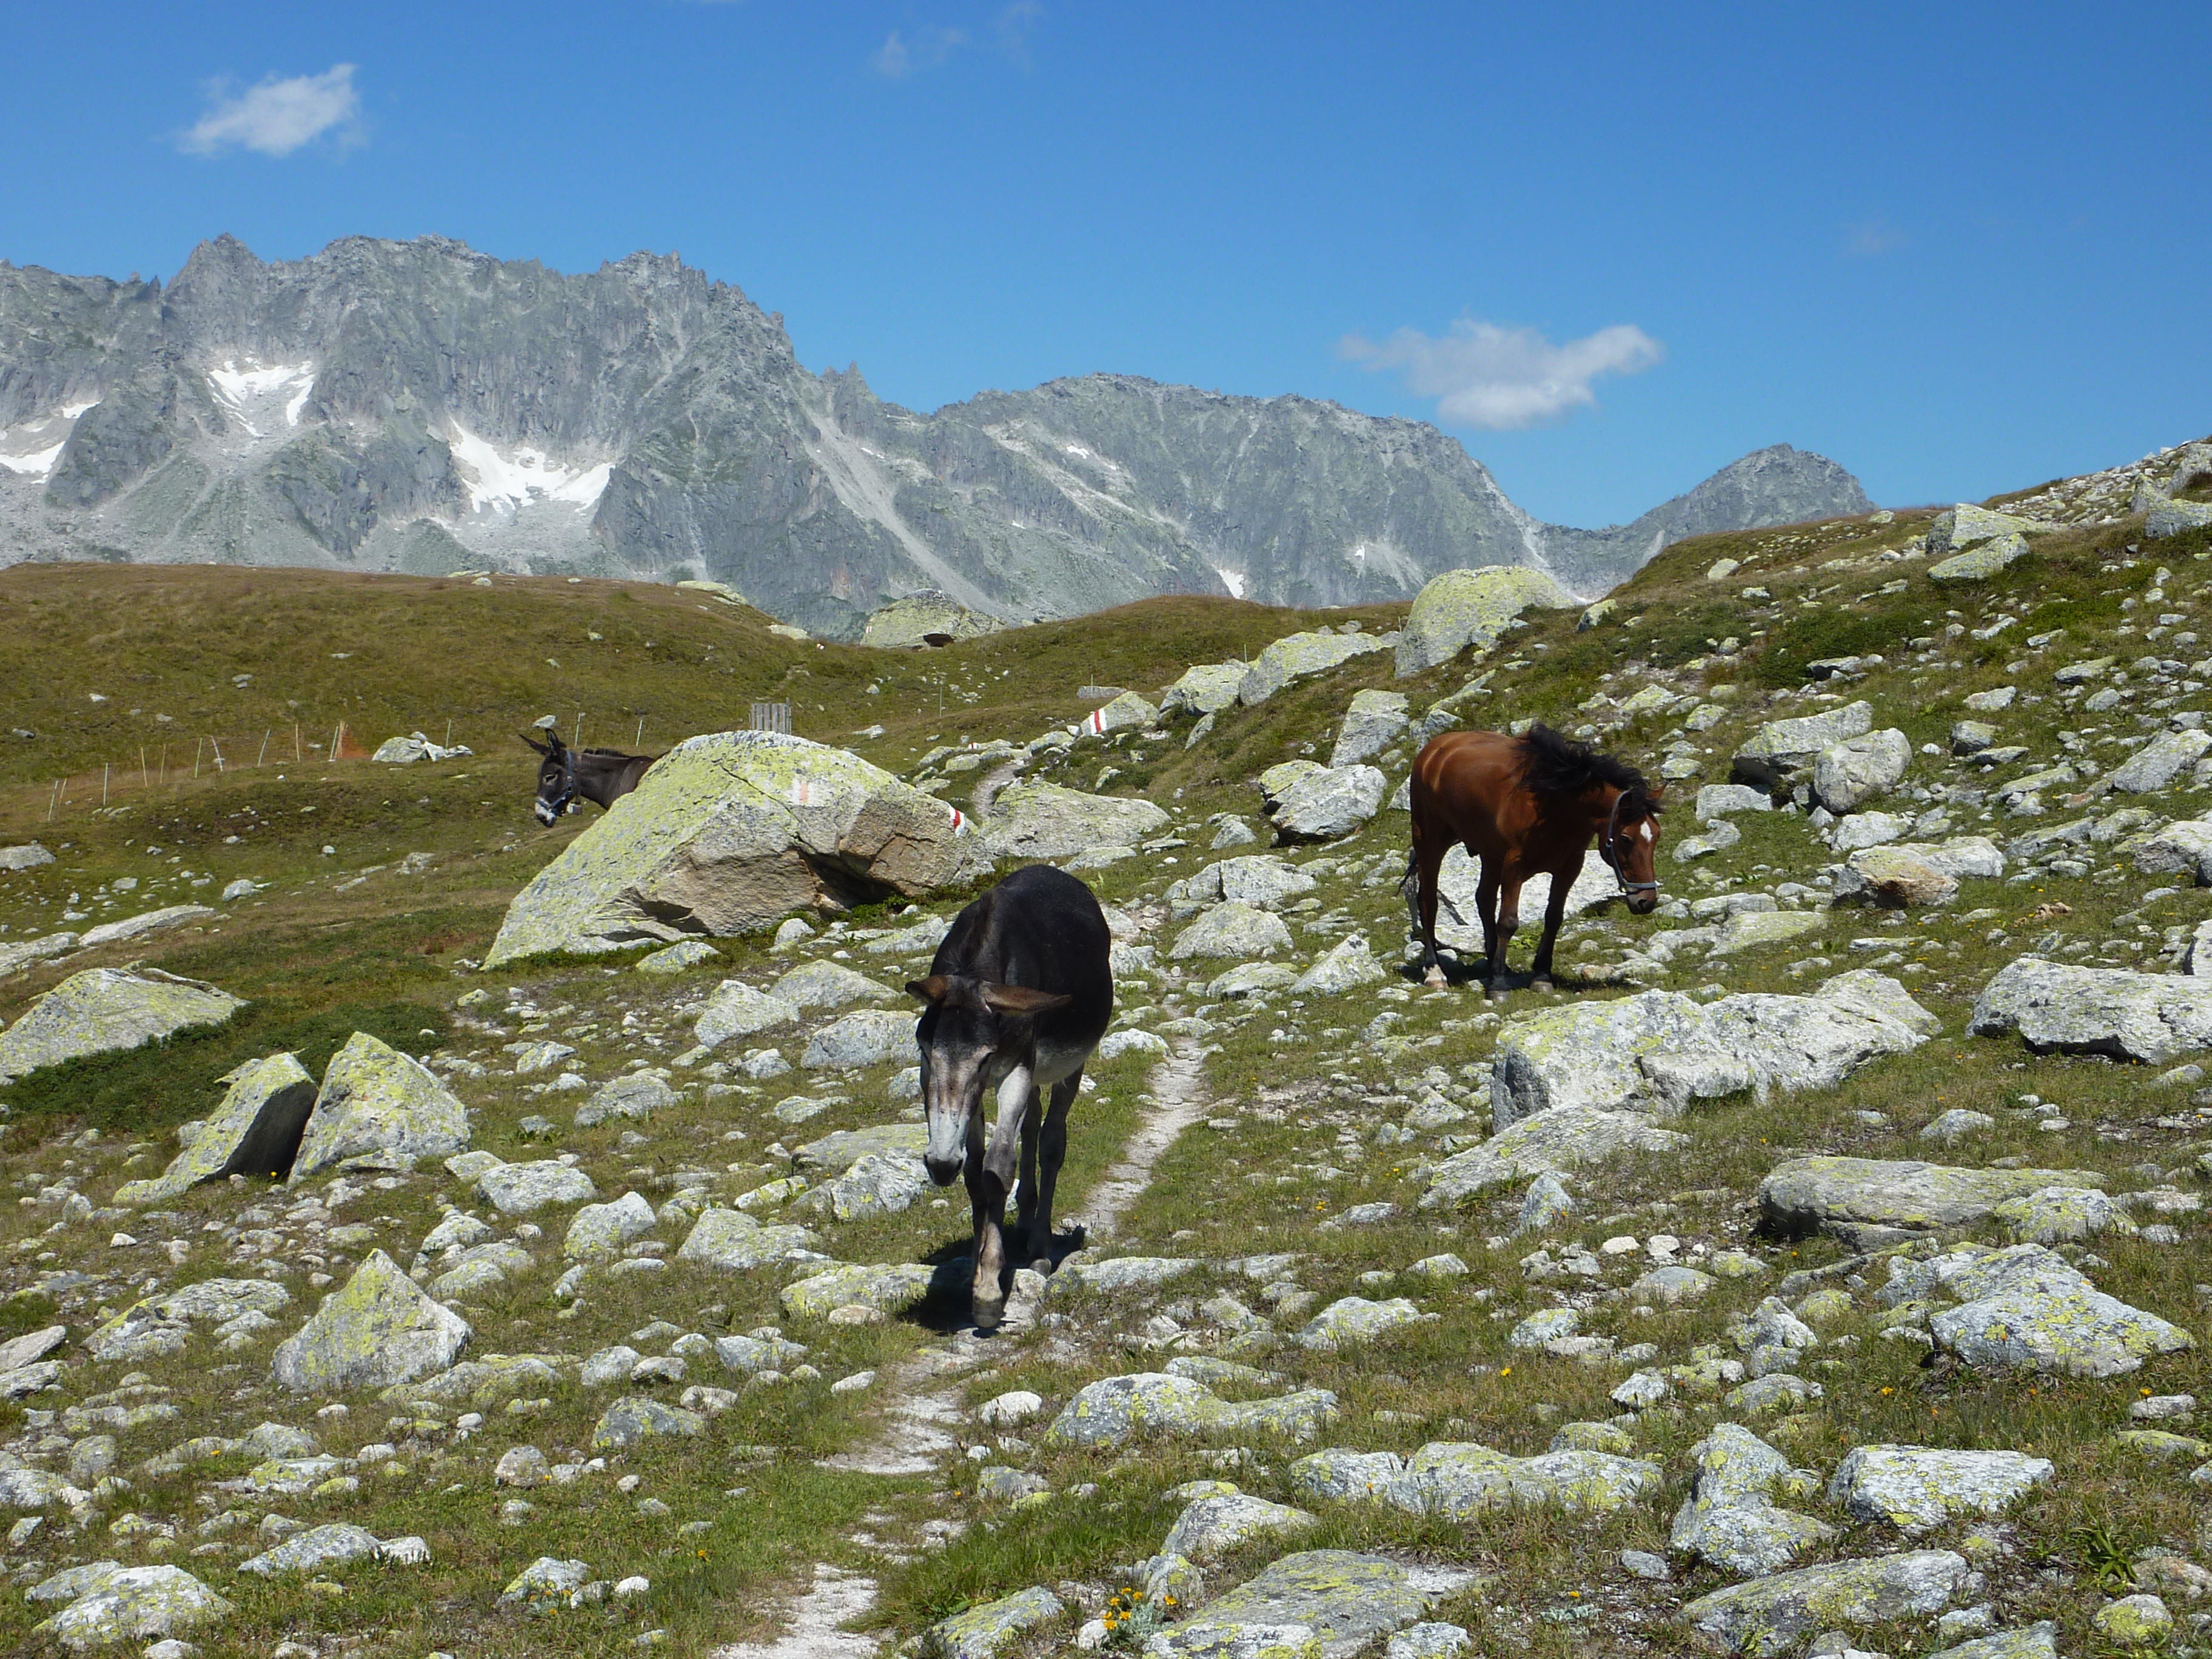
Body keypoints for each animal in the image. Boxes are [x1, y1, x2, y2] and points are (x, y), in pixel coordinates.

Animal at [906, 864, 1113, 1331]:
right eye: (924, 1051)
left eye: (985, 1058)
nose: (939, 1165)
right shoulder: (977, 1096)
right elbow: (975, 1175)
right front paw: (976, 1267)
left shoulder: (1014, 1069)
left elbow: (998, 1168)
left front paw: (987, 1292)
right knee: (1033, 1127)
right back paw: (1024, 1217)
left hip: (1068, 1067)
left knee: (1052, 1141)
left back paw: (1038, 1249)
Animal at [1405, 722, 1664, 1000]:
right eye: (1625, 839)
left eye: (1657, 835)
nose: (1646, 901)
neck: (1554, 804)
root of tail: (1434, 750)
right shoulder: (1514, 867)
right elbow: (1508, 921)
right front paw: (1498, 986)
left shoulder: (1569, 868)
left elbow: (1554, 918)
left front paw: (1541, 976)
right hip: (1430, 844)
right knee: (1428, 903)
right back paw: (1435, 973)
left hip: (1490, 855)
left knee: (1484, 900)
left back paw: (1495, 964)